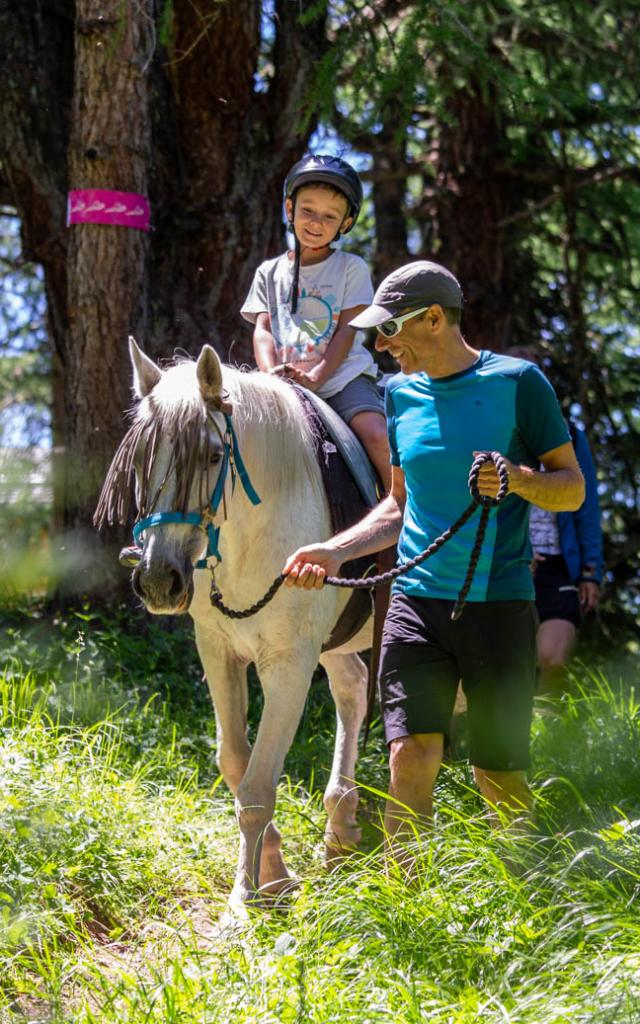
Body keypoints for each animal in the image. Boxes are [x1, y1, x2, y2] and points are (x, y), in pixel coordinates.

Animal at [97, 344, 372, 913]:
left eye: (209, 456)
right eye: (141, 460)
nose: (158, 580)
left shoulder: (288, 663)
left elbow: (259, 786)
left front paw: (243, 901)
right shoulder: (218, 650)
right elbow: (234, 765)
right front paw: (274, 876)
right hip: (334, 645)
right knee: (353, 690)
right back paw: (341, 831)